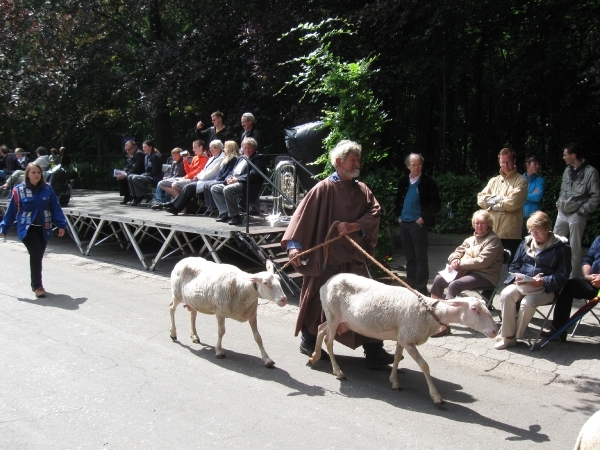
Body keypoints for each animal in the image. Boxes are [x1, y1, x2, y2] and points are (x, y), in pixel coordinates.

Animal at [310, 274, 496, 404]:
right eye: (475, 309)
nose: (494, 331)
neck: (429, 312)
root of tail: (326, 283)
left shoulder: (402, 336)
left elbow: (398, 357)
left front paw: (394, 382)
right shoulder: (408, 339)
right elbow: (424, 366)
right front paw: (436, 396)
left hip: (338, 319)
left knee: (320, 329)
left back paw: (315, 356)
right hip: (333, 314)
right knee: (329, 340)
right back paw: (338, 372)